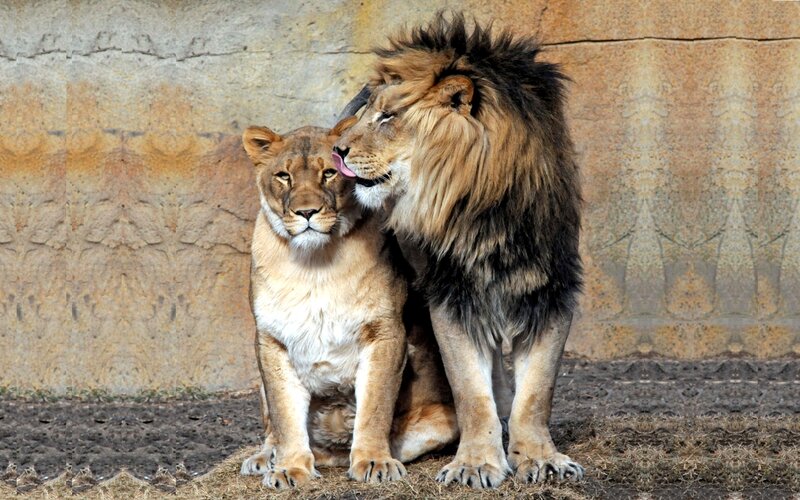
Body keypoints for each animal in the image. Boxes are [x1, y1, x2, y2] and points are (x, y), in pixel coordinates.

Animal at [238, 122, 457, 489]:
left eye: (329, 173)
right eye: (284, 176)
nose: (306, 213)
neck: (313, 264)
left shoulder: (385, 333)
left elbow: (374, 407)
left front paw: (374, 461)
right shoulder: (271, 340)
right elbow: (285, 414)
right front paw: (289, 468)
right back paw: (265, 457)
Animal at [332, 14, 585, 489]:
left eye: (388, 116)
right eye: (368, 111)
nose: (338, 150)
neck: (484, 212)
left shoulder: (549, 291)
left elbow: (537, 392)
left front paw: (540, 459)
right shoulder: (452, 295)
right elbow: (469, 390)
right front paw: (477, 463)